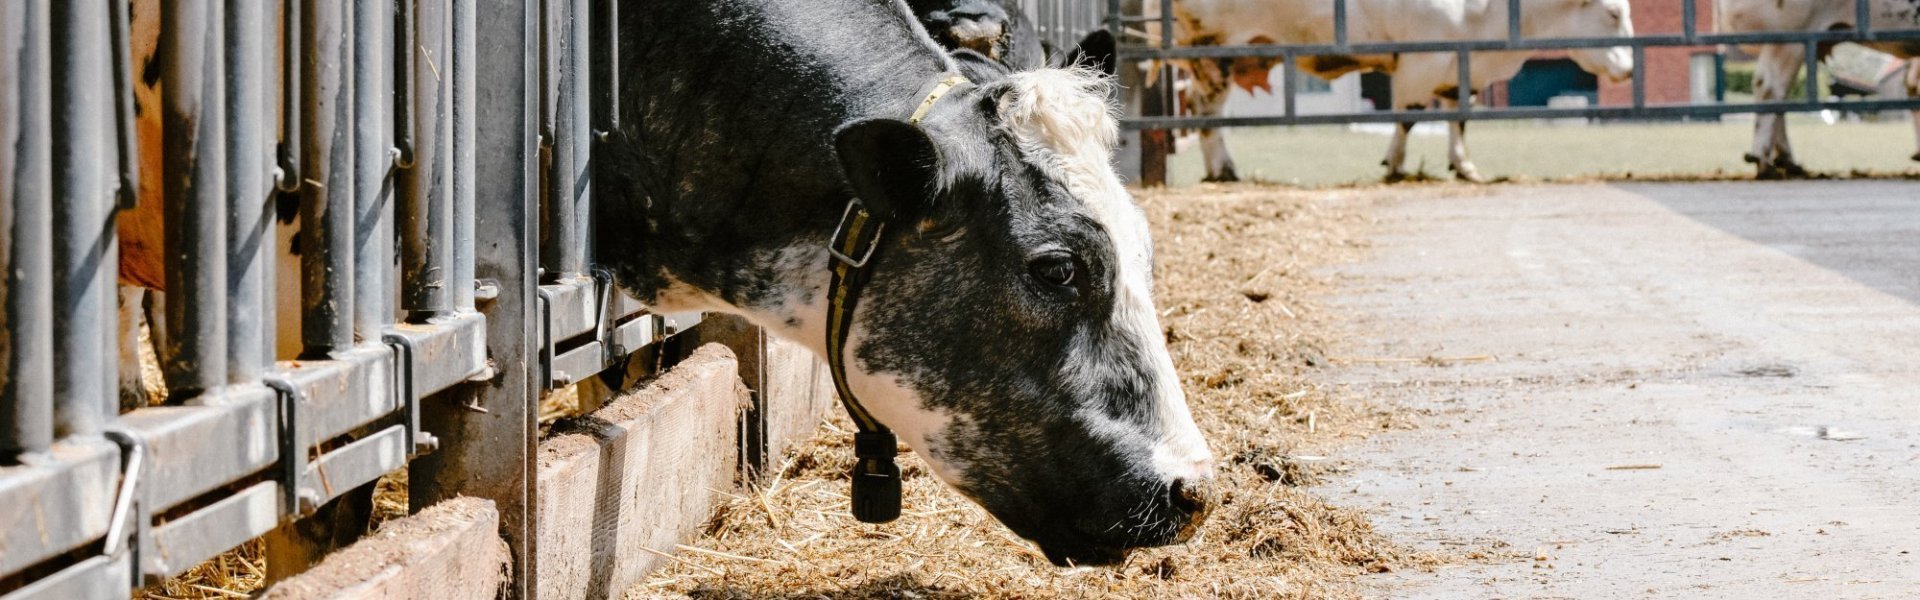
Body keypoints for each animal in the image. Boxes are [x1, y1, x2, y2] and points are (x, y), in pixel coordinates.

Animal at [1167, 0, 1635, 182]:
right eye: (1613, 13)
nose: (1630, 70)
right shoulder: (1418, 64)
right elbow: (1408, 116)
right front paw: (1394, 164)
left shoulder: (1457, 68)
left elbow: (1458, 119)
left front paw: (1464, 165)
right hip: (1214, 52)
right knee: (1206, 110)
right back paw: (1223, 168)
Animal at [1720, 0, 1920, 177]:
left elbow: (1912, 87)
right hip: (1789, 34)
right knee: (1770, 87)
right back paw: (1764, 162)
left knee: (1777, 92)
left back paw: (1788, 163)